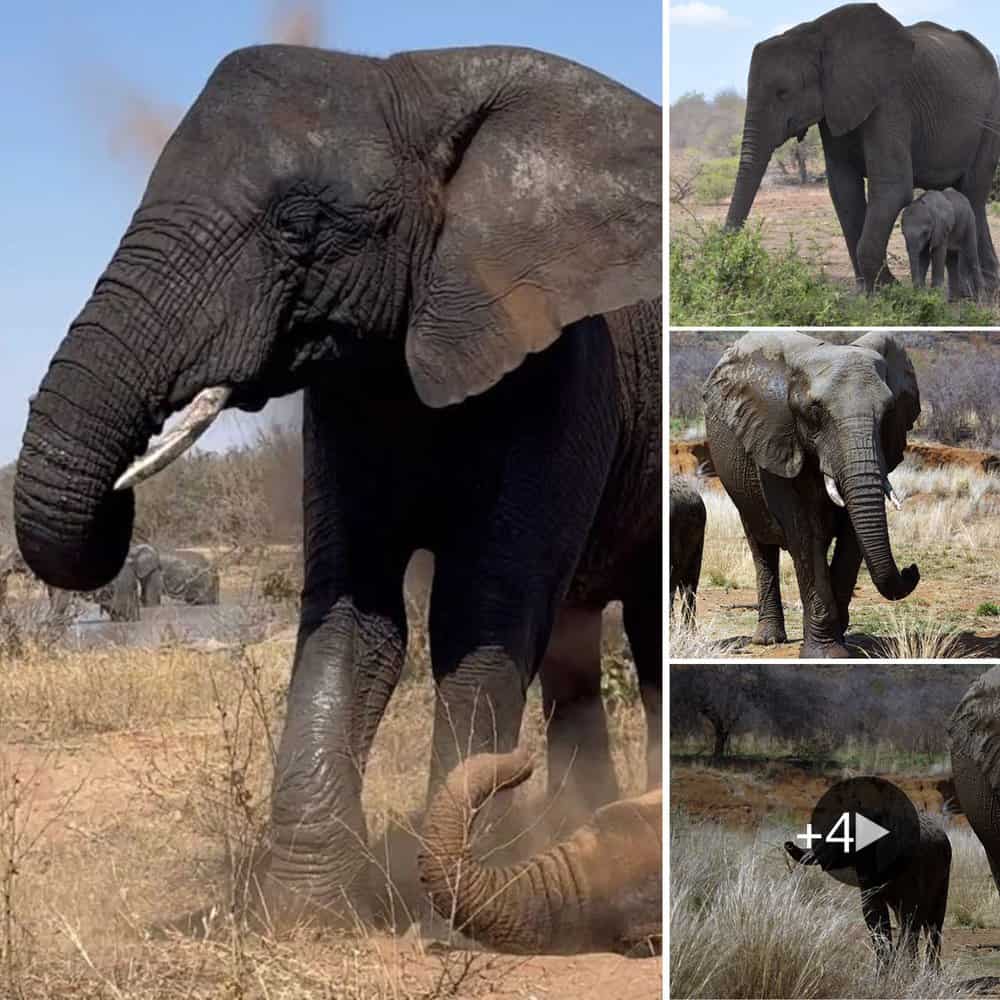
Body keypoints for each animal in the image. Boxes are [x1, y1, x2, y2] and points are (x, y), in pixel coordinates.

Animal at [13, 43, 661, 927]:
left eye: (298, 224)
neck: (421, 87)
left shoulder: (561, 366)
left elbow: (481, 612)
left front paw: (453, 905)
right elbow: (354, 612)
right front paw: (301, 910)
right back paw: (578, 820)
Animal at [704, 330, 920, 658]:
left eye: (889, 412)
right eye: (815, 412)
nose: (911, 570)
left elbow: (852, 536)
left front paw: (840, 639)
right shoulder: (776, 441)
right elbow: (805, 534)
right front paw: (827, 652)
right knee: (761, 546)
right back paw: (767, 640)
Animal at [725, 3, 1000, 293]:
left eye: (783, 93)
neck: (816, 34)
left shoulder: (891, 99)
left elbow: (892, 187)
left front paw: (888, 289)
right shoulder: (835, 104)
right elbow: (844, 191)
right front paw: (869, 291)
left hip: (991, 115)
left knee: (973, 193)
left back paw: (984, 289)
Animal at [784, 814, 950, 971]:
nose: (788, 844)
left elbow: (911, 915)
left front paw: (905, 971)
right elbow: (874, 914)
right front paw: (885, 973)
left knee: (933, 922)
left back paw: (930, 972)